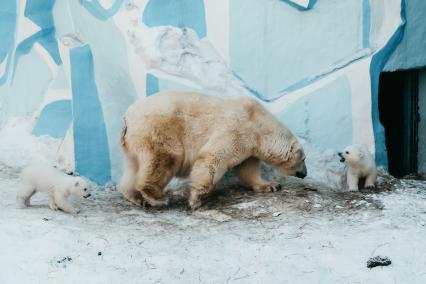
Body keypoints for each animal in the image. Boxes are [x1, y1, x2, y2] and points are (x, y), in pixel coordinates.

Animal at [119, 92, 306, 210]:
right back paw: (157, 197)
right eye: (303, 159)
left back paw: (136, 197)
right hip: (158, 130)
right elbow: (213, 157)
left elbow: (248, 169)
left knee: (133, 167)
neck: (259, 123)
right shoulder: (237, 129)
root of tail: (127, 118)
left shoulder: (250, 147)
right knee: (165, 158)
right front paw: (196, 200)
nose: (304, 173)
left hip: (132, 143)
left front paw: (271, 185)